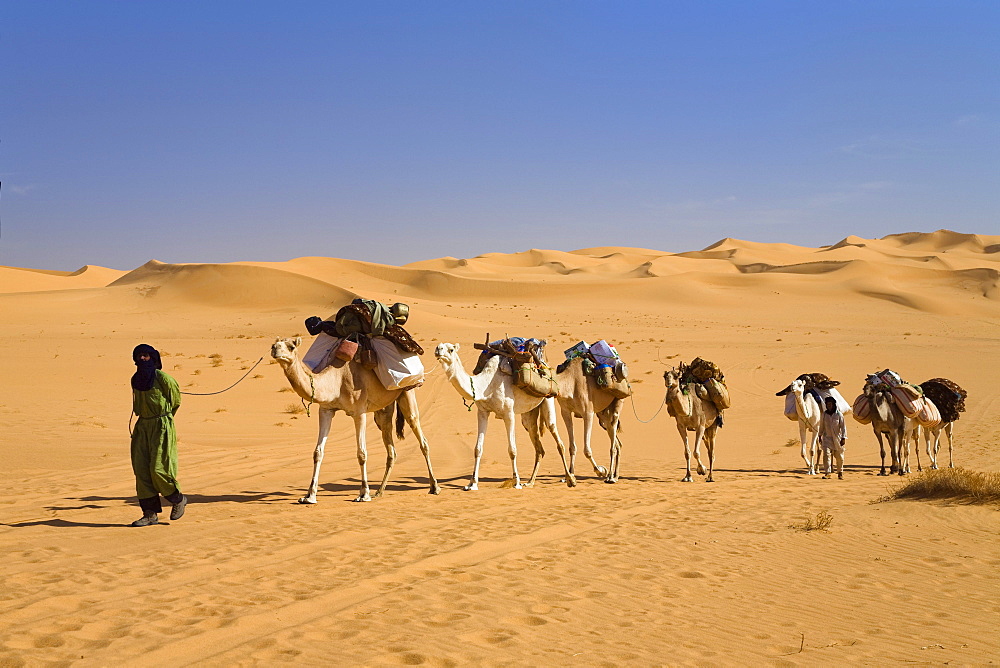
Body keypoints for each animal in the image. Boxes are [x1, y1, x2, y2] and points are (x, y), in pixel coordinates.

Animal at [270, 336, 438, 504]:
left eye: (291, 346)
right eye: (274, 344)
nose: (275, 349)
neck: (337, 379)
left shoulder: (359, 412)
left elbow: (361, 453)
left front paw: (364, 494)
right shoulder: (326, 410)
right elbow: (318, 452)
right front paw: (309, 496)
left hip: (406, 392)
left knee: (421, 436)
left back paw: (434, 487)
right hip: (384, 409)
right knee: (391, 448)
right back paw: (379, 492)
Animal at [432, 344, 580, 490]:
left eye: (451, 349)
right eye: (440, 346)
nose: (438, 350)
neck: (486, 385)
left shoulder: (508, 413)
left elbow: (512, 450)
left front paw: (516, 482)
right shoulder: (482, 412)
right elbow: (478, 449)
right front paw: (472, 483)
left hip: (548, 399)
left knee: (557, 438)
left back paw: (570, 479)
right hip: (529, 414)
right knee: (538, 446)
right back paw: (530, 482)